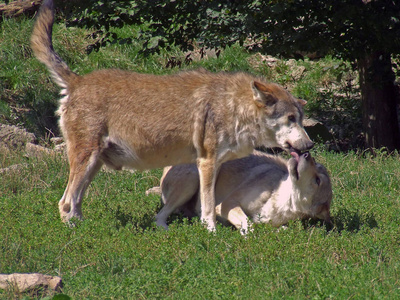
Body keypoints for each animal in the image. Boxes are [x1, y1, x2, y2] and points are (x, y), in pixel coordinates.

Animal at [30, 0, 312, 231]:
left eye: (300, 119)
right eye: (290, 119)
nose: (310, 146)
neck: (233, 106)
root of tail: (77, 81)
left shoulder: (214, 165)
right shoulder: (207, 163)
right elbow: (208, 208)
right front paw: (211, 234)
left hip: (94, 165)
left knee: (75, 202)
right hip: (86, 160)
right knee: (65, 202)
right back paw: (76, 233)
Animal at [155, 150, 332, 234]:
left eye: (318, 180)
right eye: (316, 163)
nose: (306, 153)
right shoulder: (225, 204)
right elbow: (249, 224)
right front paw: (247, 233)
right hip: (192, 180)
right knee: (159, 217)